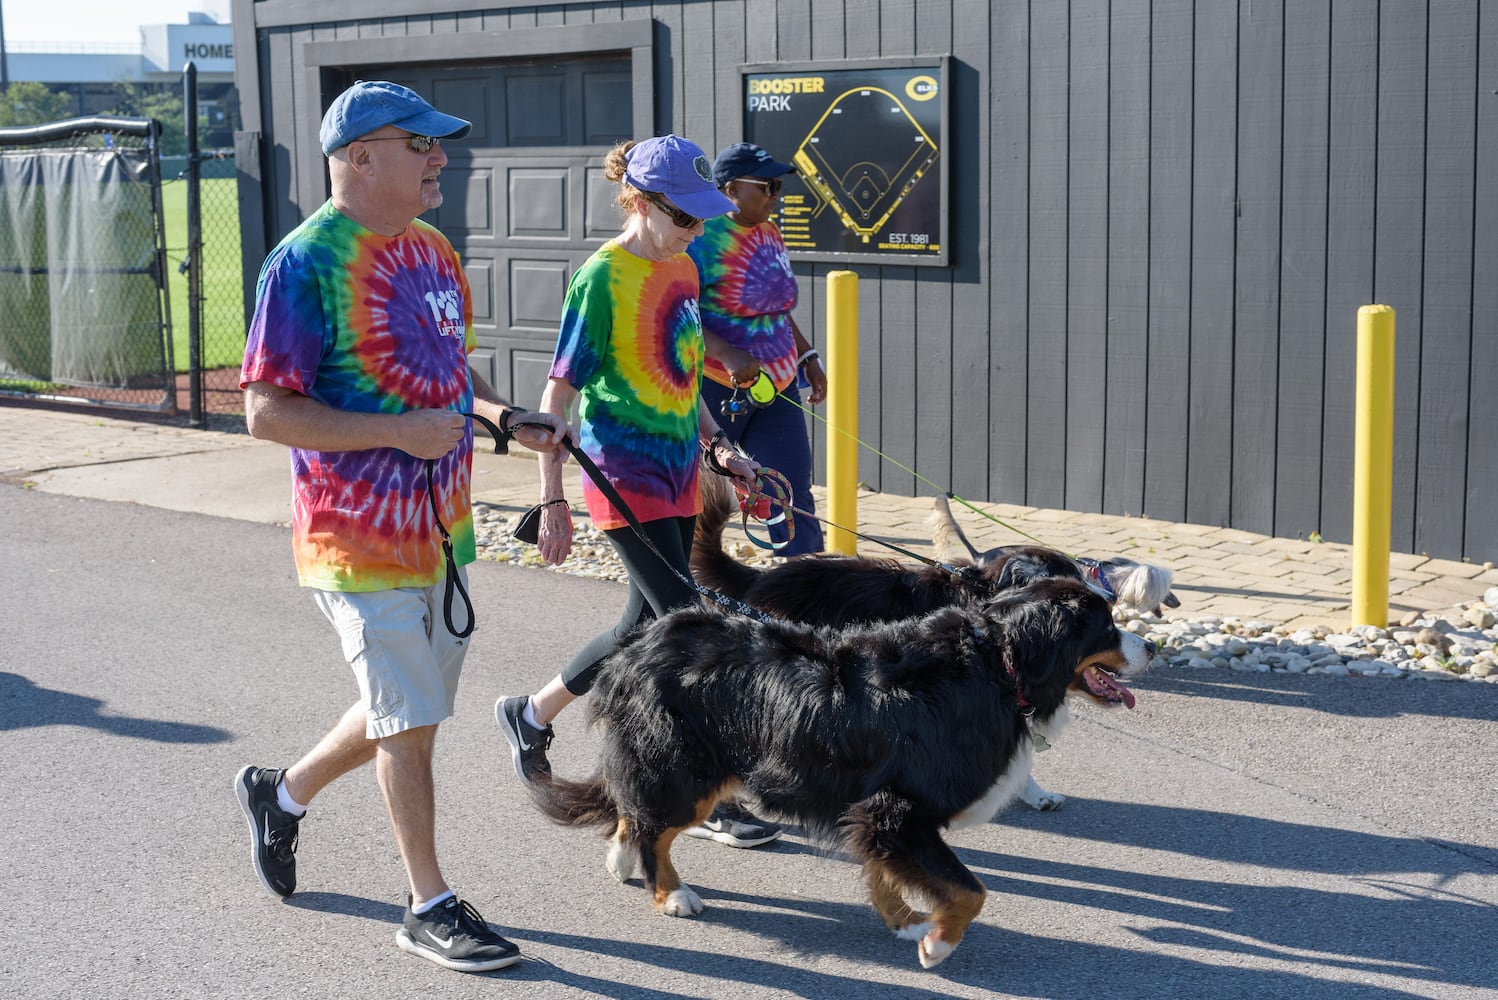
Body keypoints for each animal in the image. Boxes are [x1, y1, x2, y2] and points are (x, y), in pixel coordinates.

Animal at [527, 577, 1156, 970]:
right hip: (689, 770)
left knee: (636, 812)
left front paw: (904, 920)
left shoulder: (871, 808)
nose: (1150, 647)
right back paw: (671, 893)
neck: (999, 662)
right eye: (1105, 627)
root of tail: (635, 648)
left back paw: (621, 858)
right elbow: (971, 891)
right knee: (655, 824)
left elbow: (882, 867)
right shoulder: (900, 808)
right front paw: (938, 944)